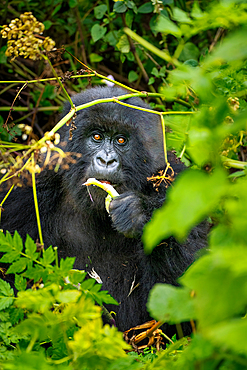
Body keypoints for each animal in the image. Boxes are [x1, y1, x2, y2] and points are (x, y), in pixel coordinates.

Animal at [0, 86, 206, 332]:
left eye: (121, 140)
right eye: (96, 137)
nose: (106, 160)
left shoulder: (175, 182)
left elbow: (182, 298)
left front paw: (138, 214)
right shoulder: (26, 185)